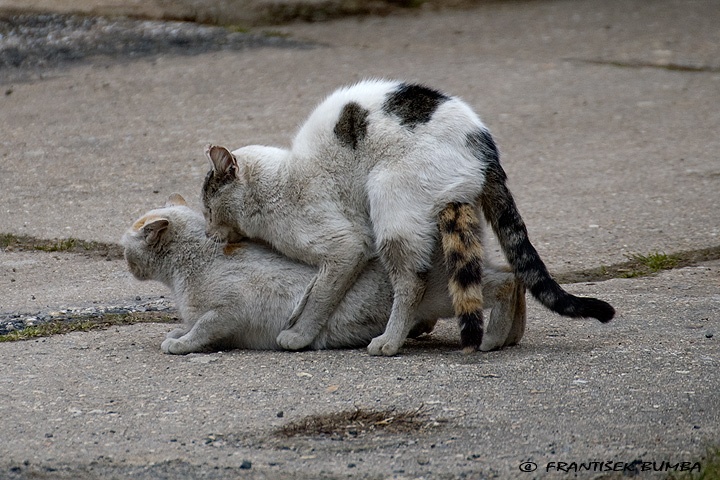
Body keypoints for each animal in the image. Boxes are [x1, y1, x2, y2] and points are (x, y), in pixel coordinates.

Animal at [124, 193, 524, 354]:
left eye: (126, 247)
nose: (125, 262)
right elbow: (191, 327)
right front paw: (177, 333)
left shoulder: (228, 312)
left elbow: (201, 329)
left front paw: (179, 343)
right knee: (513, 272)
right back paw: (512, 335)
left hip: (445, 295)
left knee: (507, 281)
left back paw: (494, 338)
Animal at [202, 79, 612, 356]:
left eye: (206, 206)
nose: (207, 231)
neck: (282, 180)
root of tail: (484, 148)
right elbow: (311, 289)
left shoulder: (347, 247)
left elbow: (321, 294)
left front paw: (299, 334)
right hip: (455, 218)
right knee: (505, 274)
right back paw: (503, 337)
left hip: (391, 204)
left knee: (413, 282)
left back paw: (391, 340)